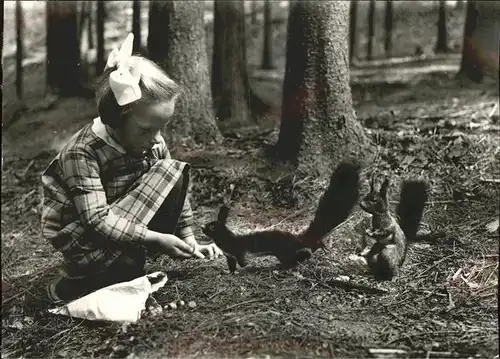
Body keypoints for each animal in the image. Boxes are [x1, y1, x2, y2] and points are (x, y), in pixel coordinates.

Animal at [201, 161, 362, 272]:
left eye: (211, 226)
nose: (201, 226)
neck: (225, 241)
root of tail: (299, 239)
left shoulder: (238, 250)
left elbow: (242, 260)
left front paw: (245, 268)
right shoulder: (229, 256)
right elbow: (232, 266)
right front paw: (229, 272)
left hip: (285, 251)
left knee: (302, 253)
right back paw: (320, 246)